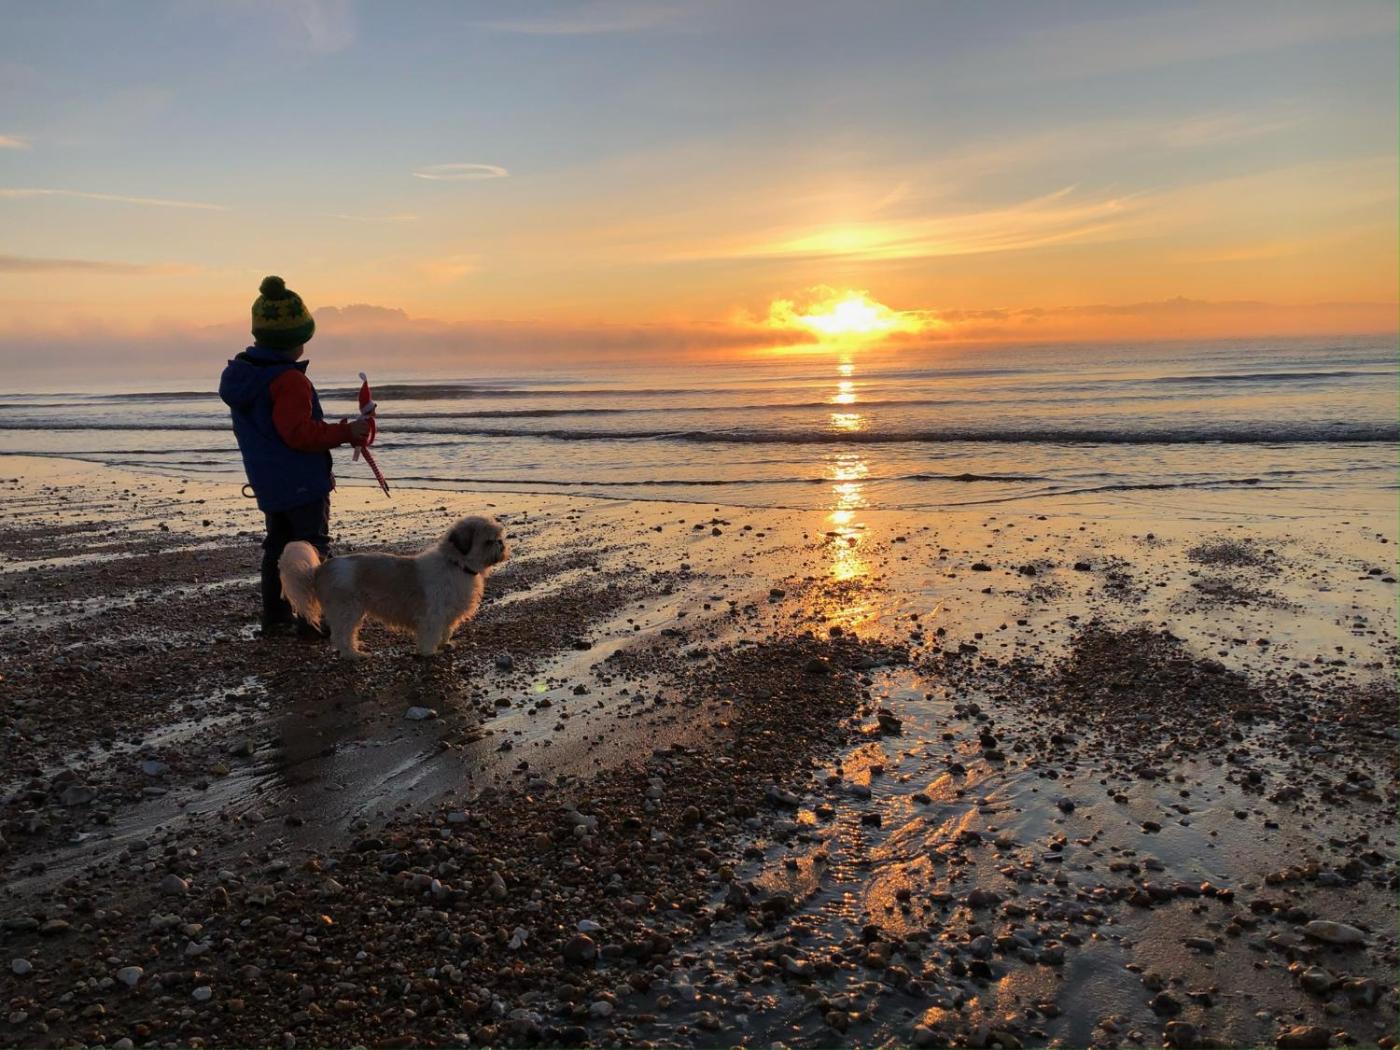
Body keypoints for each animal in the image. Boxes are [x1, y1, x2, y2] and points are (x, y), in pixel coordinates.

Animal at [278, 515, 509, 660]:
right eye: (489, 541)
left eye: (499, 538)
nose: (502, 544)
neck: (456, 564)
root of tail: (320, 569)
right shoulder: (432, 614)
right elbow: (431, 632)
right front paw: (429, 652)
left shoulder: (449, 613)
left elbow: (445, 630)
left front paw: (444, 643)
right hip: (347, 610)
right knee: (342, 635)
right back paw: (353, 655)